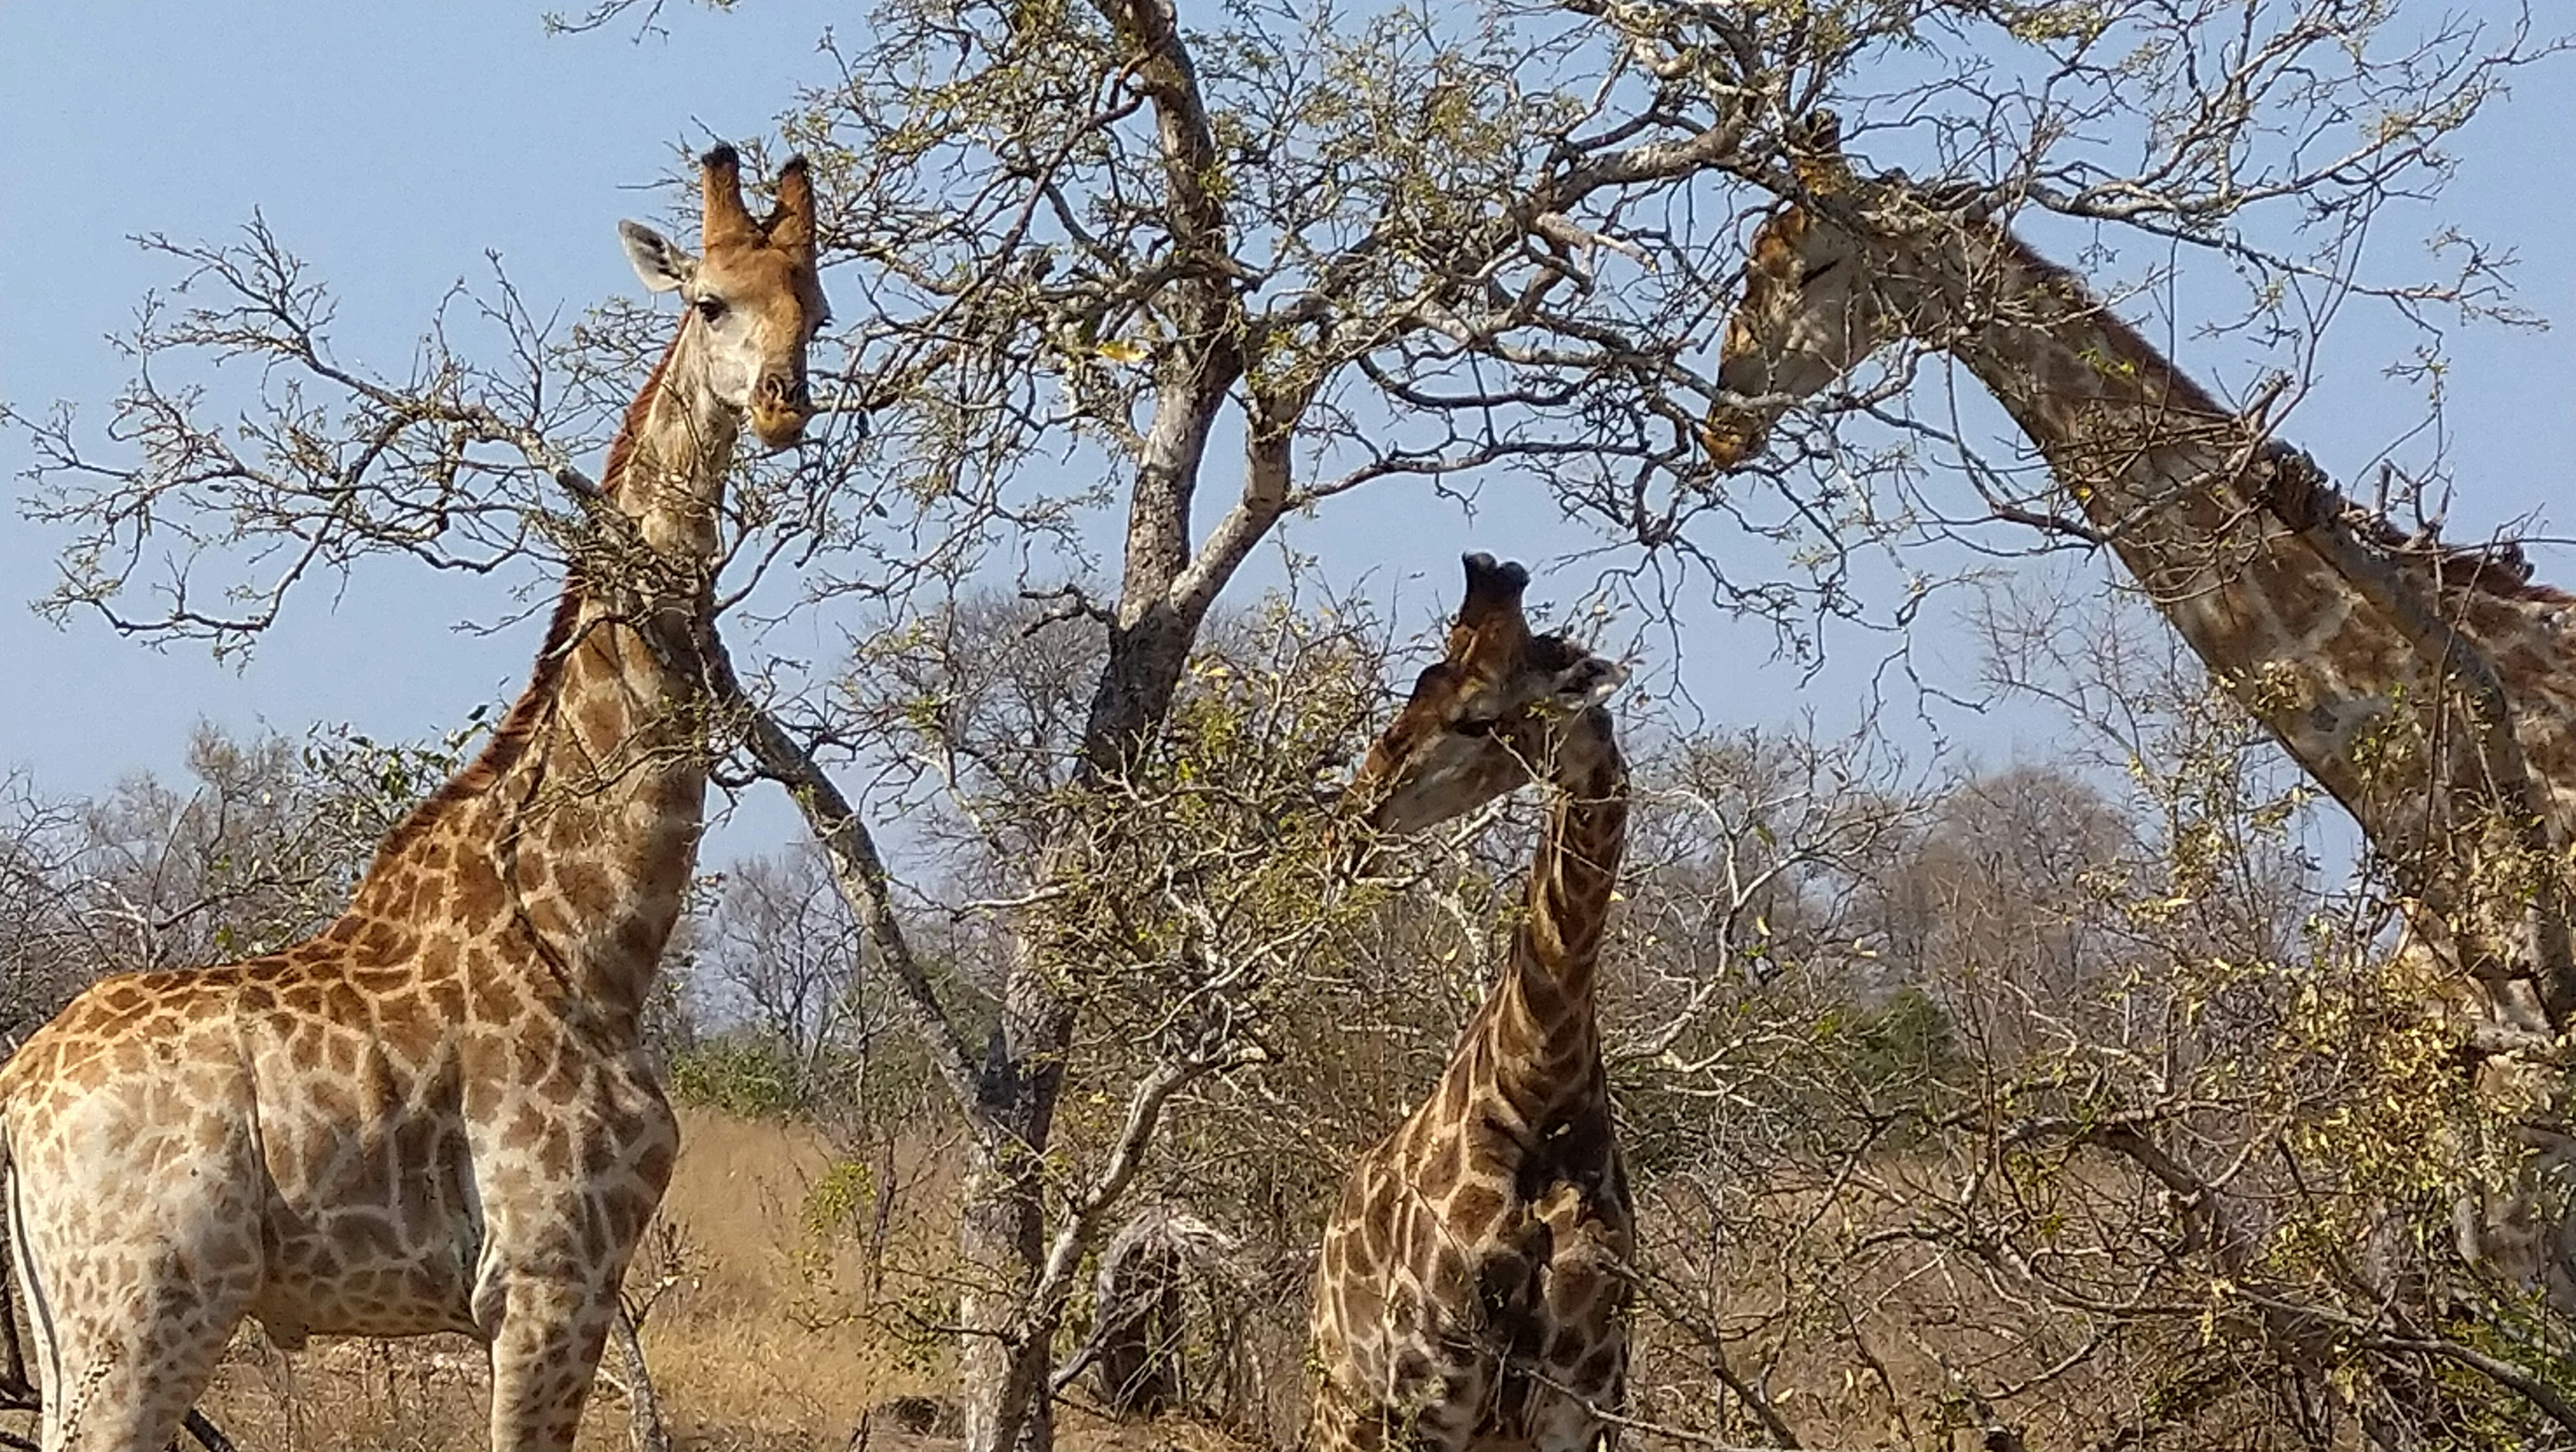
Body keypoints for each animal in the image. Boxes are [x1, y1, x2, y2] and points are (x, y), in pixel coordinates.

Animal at [0, 144, 829, 1452]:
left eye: (819, 305)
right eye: (711, 303)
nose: (786, 402)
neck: (594, 941)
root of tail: (17, 1096)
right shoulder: (549, 1278)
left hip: (65, 1323)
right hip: (143, 1313)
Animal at [1308, 552, 1635, 1452]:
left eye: (1477, 719)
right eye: (1419, 689)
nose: (1351, 823)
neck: (1540, 1078)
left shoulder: (1581, 1402)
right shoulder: (1431, 1390)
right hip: (1347, 1406)